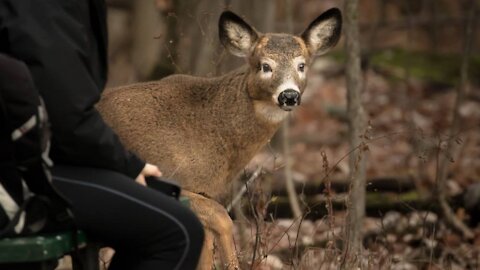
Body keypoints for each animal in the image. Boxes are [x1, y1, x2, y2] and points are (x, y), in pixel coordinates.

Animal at [97, 8, 342, 270]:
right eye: (264, 66)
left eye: (302, 65)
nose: (289, 95)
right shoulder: (170, 178)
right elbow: (221, 218)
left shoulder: (204, 190)